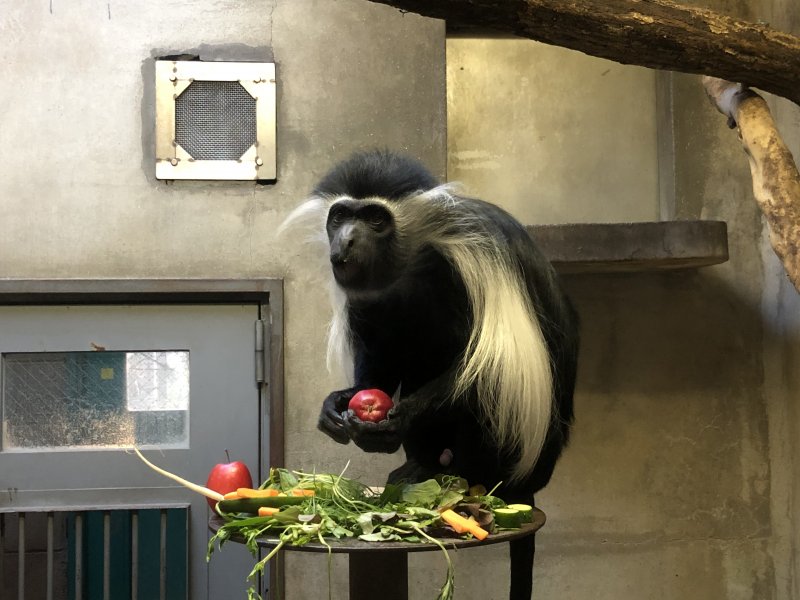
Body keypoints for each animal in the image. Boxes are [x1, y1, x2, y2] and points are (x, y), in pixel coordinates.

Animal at [283, 149, 579, 600]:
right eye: (340, 216)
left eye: (375, 218)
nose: (345, 241)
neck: (417, 258)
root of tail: (534, 480)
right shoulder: (371, 297)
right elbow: (380, 366)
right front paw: (338, 406)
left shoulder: (474, 259)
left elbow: (492, 370)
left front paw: (398, 419)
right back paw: (418, 467)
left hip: (502, 452)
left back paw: (453, 474)